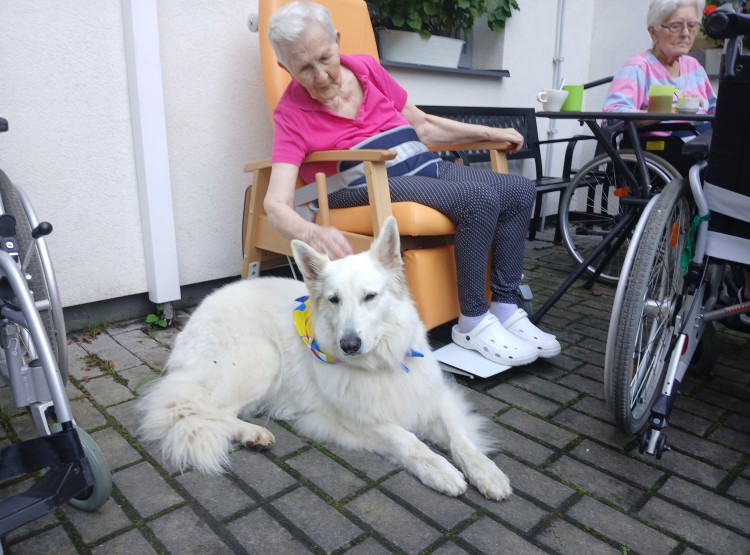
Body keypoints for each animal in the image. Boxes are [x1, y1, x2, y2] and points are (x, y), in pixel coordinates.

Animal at [138, 219, 516, 502]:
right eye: (334, 300)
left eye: (370, 297)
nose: (349, 345)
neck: (380, 362)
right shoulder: (360, 422)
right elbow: (408, 440)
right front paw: (441, 470)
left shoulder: (435, 398)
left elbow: (460, 438)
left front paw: (487, 472)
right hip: (261, 358)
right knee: (203, 410)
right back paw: (252, 433)